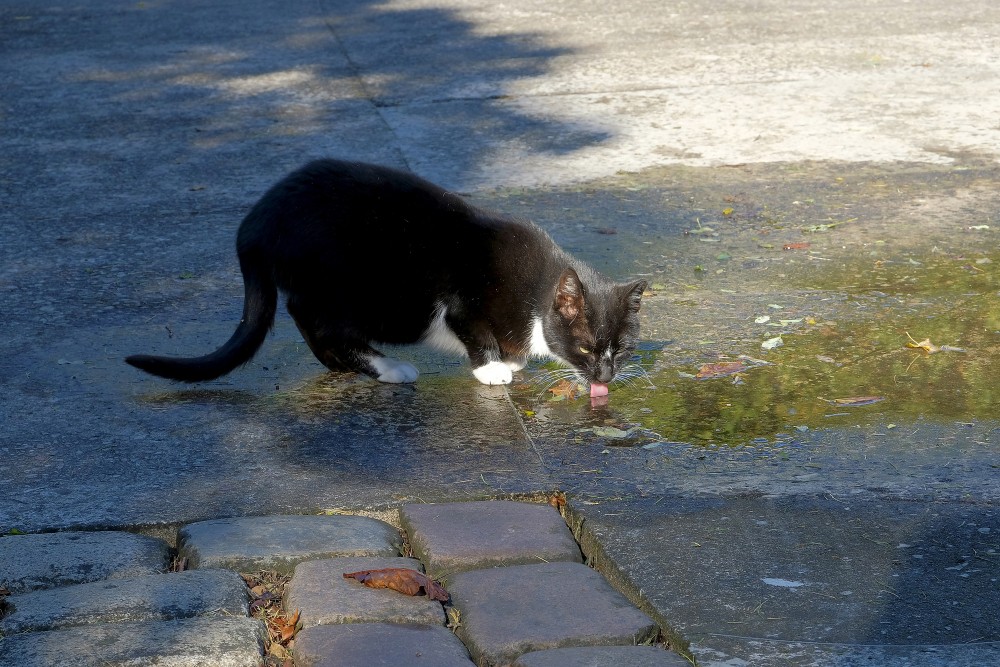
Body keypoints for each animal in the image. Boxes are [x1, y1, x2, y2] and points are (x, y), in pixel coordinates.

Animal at [125, 159, 644, 394]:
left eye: (620, 350)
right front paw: (494, 367)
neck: (536, 291)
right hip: (346, 287)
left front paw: (511, 360)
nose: (606, 376)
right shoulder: (462, 301)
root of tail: (256, 220)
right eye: (586, 348)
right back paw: (387, 367)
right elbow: (474, 332)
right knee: (312, 317)